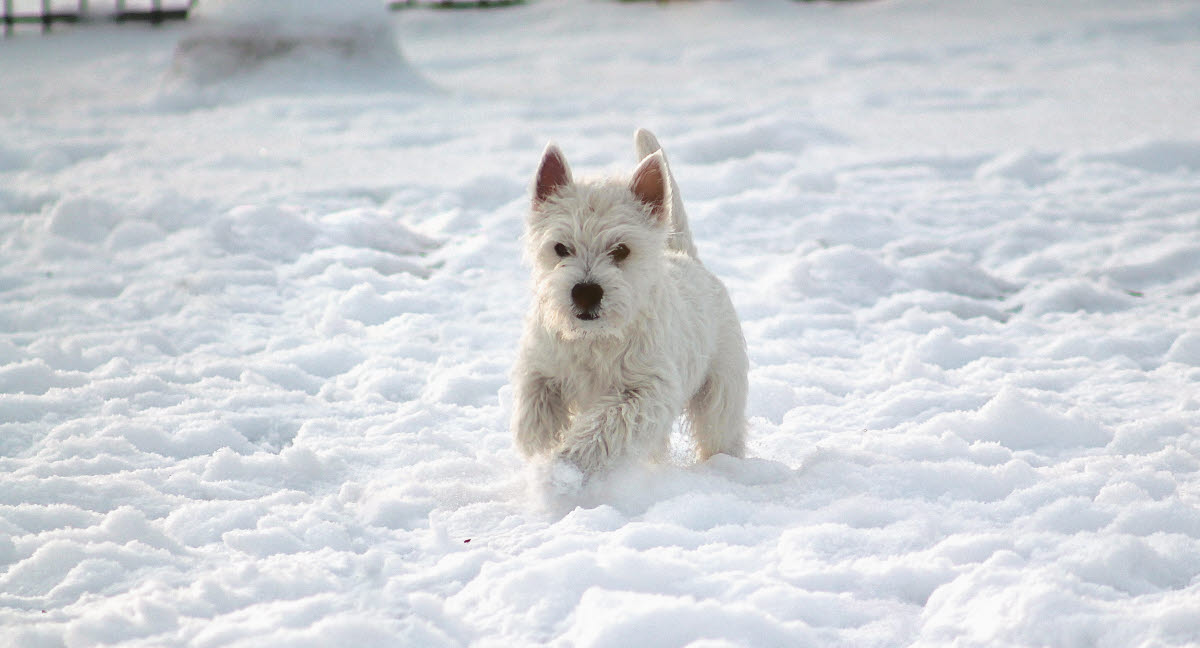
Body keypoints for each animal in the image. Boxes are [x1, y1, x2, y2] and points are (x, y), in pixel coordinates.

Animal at [511, 129, 744, 477]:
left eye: (621, 250)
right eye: (561, 248)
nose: (586, 292)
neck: (594, 339)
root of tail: (687, 256)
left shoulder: (648, 389)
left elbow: (609, 422)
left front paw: (569, 461)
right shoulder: (541, 368)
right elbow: (534, 415)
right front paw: (544, 452)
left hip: (721, 390)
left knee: (721, 431)